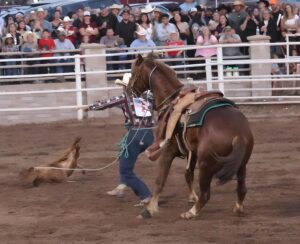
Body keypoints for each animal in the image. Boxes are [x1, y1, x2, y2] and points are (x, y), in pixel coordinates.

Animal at [127, 54, 254, 219]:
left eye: (133, 71)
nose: (127, 90)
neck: (171, 100)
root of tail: (239, 134)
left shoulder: (167, 151)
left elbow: (160, 180)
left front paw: (149, 209)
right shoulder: (191, 152)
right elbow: (188, 173)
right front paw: (192, 197)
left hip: (206, 164)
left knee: (206, 193)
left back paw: (191, 212)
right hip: (241, 164)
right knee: (241, 188)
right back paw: (237, 208)